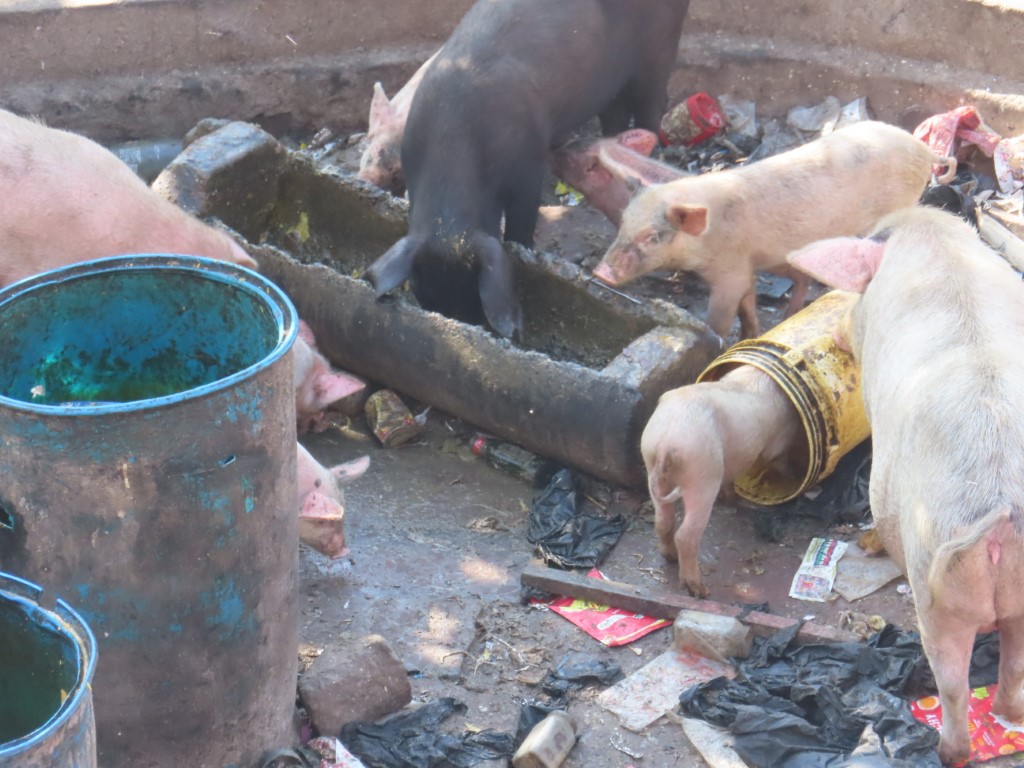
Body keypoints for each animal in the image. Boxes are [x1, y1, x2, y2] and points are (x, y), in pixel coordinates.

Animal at [593, 120, 948, 340]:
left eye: (652, 236)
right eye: (623, 222)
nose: (600, 272)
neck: (706, 237)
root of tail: (922, 148)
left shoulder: (730, 270)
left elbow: (721, 316)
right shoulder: (747, 266)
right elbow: (748, 305)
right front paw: (752, 335)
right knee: (801, 281)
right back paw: (788, 317)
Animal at [641, 366, 801, 598]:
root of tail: (666, 443)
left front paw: (731, 498)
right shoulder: (779, 442)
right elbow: (779, 460)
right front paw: (796, 476)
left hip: (651, 464)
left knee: (663, 521)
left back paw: (670, 557)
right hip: (702, 474)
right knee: (686, 535)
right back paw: (701, 591)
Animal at [787, 205, 1024, 765]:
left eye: (854, 295)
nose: (839, 332)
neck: (931, 238)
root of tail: (1002, 511)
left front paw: (869, 544)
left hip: (936, 589)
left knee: (953, 684)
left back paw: (947, 750)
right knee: (1014, 669)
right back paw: (1008, 718)